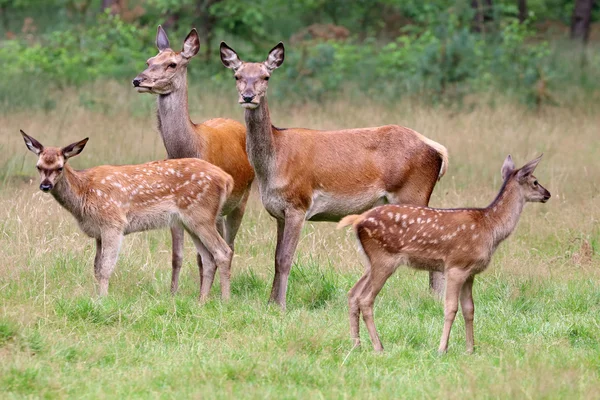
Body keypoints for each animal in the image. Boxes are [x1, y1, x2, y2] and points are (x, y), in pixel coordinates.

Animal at [19, 129, 234, 300]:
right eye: (39, 166)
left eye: (60, 167)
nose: (45, 186)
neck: (84, 194)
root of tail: (226, 179)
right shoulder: (98, 232)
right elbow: (96, 267)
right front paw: (97, 296)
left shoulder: (113, 222)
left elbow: (106, 268)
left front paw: (103, 300)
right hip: (190, 222)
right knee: (208, 258)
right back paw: (202, 300)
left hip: (201, 216)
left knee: (223, 252)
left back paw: (224, 300)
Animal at [131, 25, 253, 294]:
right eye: (149, 61)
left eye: (172, 64)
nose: (138, 80)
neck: (190, 147)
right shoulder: (175, 211)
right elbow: (177, 256)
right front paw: (173, 293)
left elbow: (202, 256)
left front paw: (202, 293)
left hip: (241, 199)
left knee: (230, 246)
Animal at [220, 41, 450, 310]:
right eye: (237, 76)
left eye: (266, 76)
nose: (248, 96)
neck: (272, 166)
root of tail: (438, 150)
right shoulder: (279, 212)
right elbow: (275, 257)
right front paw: (271, 303)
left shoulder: (299, 203)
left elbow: (286, 258)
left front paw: (282, 306)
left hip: (412, 193)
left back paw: (436, 299)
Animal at [340, 154, 552, 354]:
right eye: (535, 181)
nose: (547, 194)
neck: (490, 228)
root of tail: (358, 220)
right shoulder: (456, 266)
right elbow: (451, 308)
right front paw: (442, 348)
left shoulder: (470, 272)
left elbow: (469, 309)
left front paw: (470, 349)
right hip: (384, 258)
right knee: (365, 299)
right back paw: (378, 346)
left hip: (371, 261)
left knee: (353, 293)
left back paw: (356, 345)